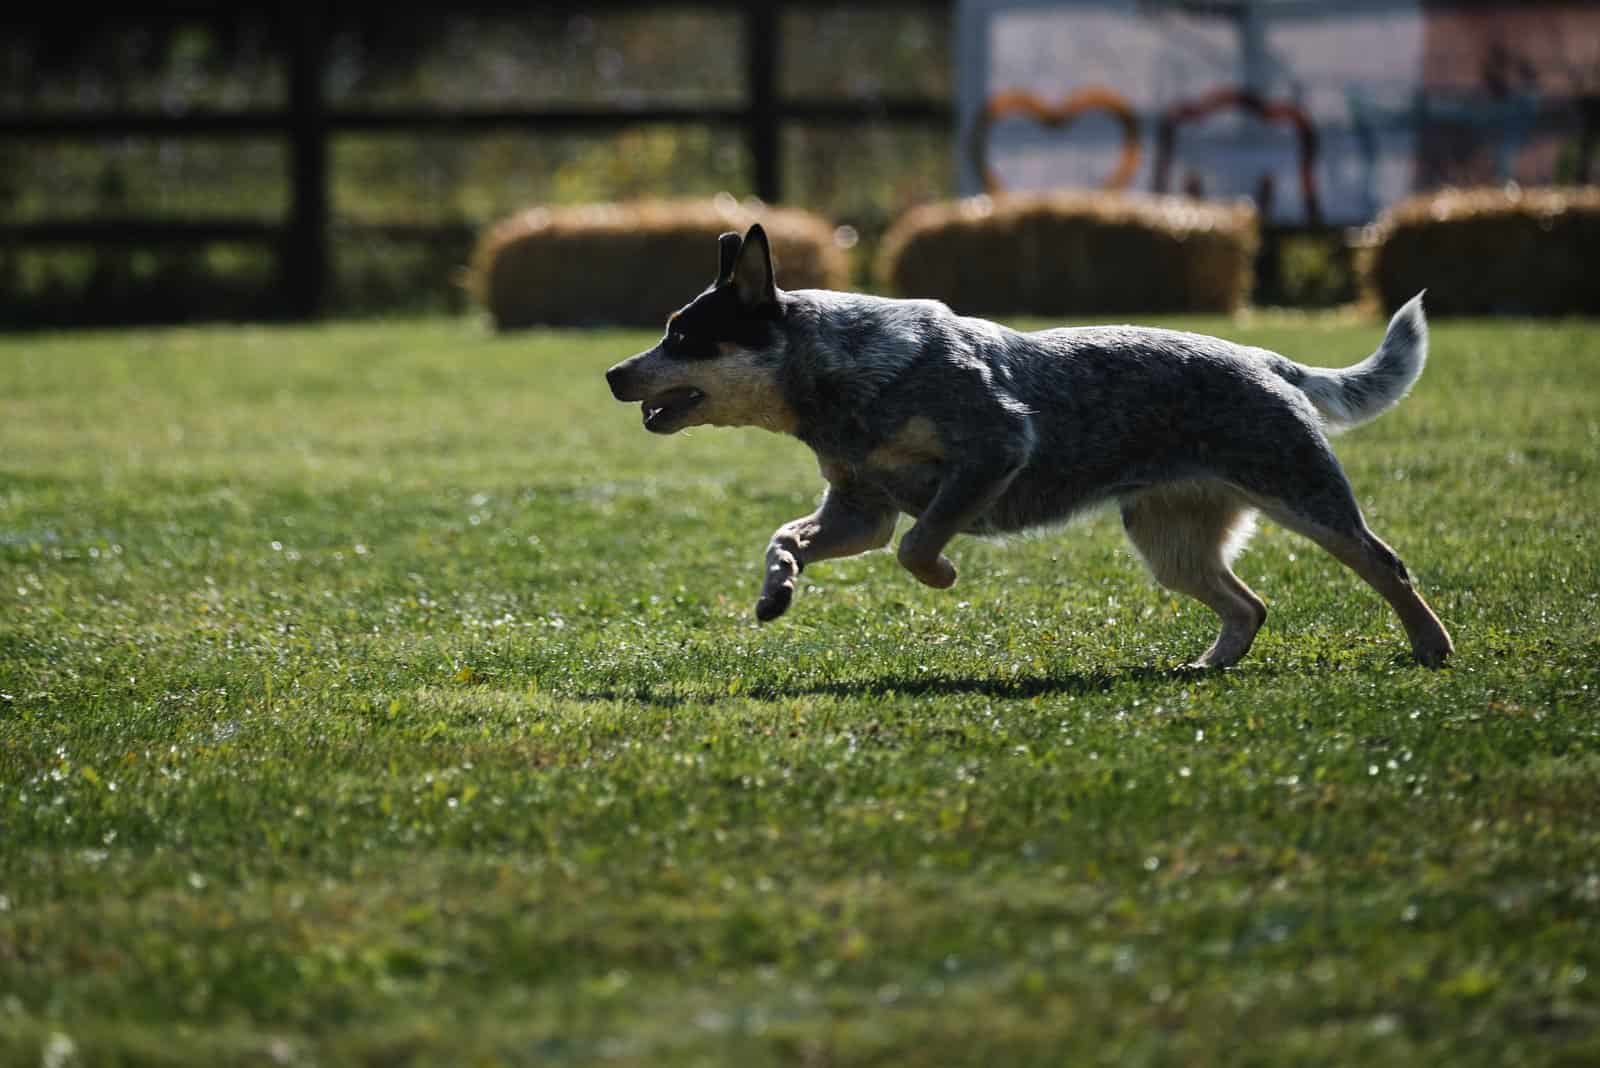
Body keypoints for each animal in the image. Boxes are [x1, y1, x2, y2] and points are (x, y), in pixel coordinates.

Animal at [601, 225, 1452, 671]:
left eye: (683, 335)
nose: (611, 372)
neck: (840, 377)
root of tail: (1267, 358)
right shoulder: (858, 509)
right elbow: (786, 536)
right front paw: (777, 590)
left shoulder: (994, 448)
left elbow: (919, 544)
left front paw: (943, 574)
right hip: (1168, 539)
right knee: (1251, 604)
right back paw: (1206, 666)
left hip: (1299, 491)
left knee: (1385, 563)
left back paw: (1432, 646)